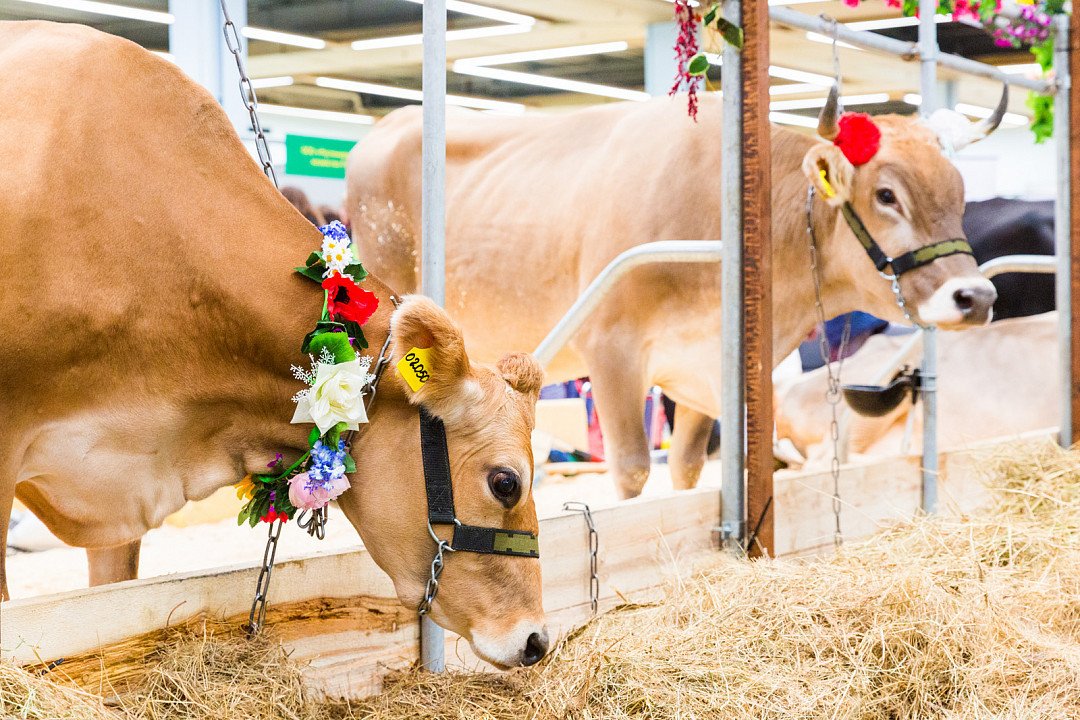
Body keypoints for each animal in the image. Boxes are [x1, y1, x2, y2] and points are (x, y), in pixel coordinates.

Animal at [347, 90, 1002, 498]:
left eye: (959, 191)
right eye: (887, 195)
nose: (976, 296)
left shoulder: (703, 367)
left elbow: (686, 471)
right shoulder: (611, 349)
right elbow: (634, 472)